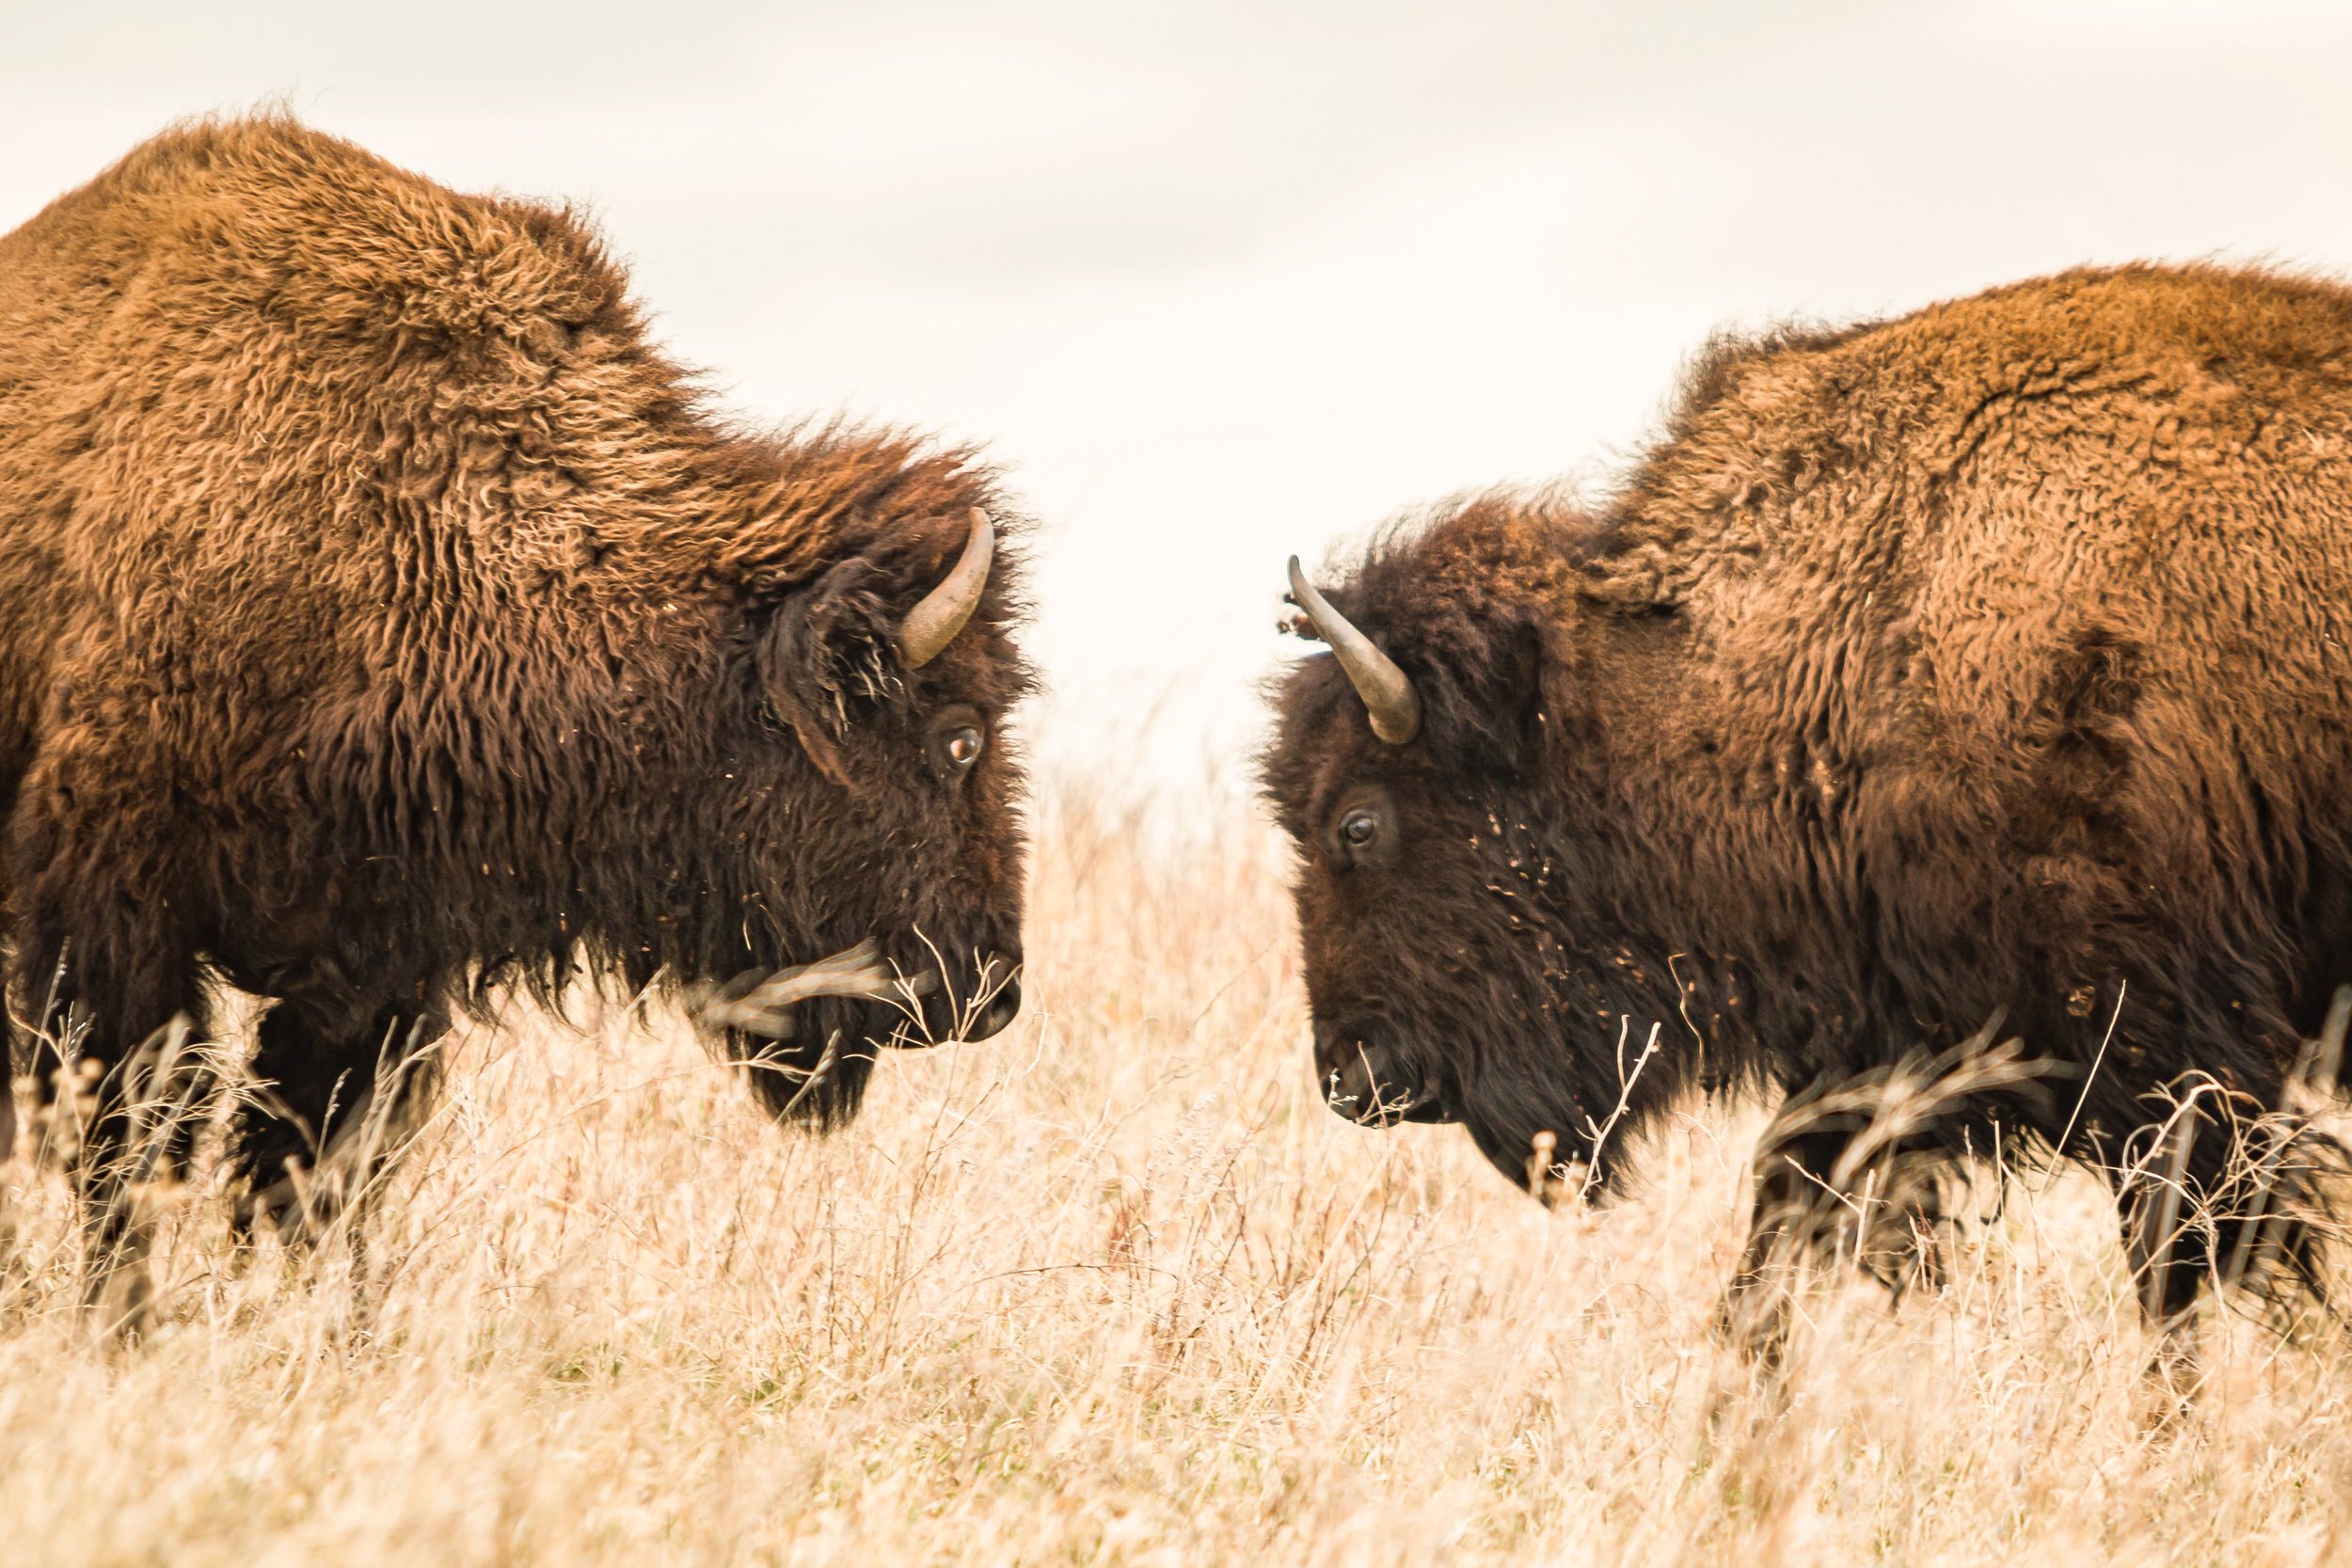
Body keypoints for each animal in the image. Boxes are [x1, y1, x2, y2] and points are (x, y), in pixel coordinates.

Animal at [0, 118, 1031, 1279]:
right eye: (958, 737)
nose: (991, 990)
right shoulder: (116, 911)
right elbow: (132, 1138)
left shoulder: (371, 967)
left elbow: (306, 1162)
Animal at [1265, 264, 2352, 1336]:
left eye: (1357, 823)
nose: (1350, 1077)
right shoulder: (1883, 1034)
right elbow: (1779, 1233)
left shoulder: (2173, 1053)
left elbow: (2176, 1267)